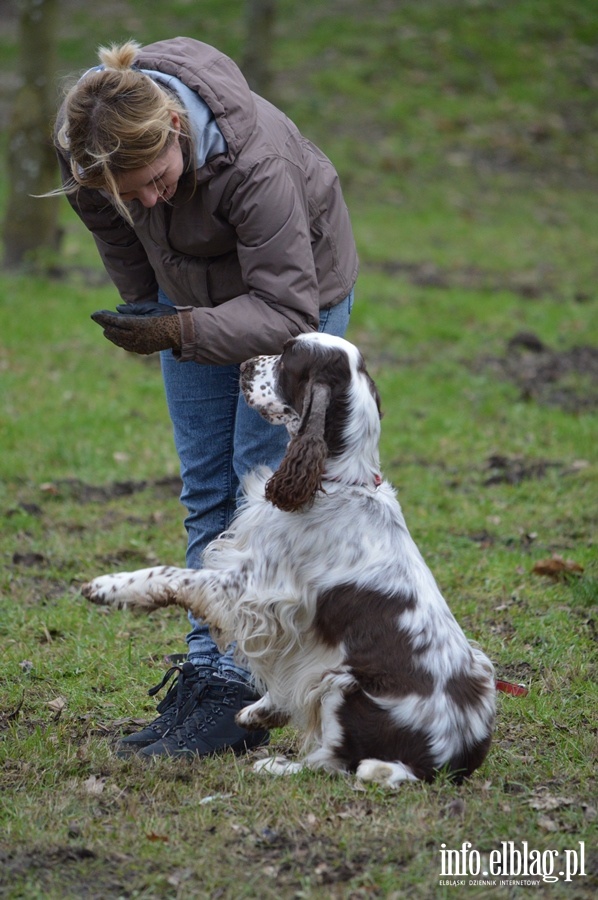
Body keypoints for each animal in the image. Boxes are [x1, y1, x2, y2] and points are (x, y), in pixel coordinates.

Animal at [83, 334, 496, 784]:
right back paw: (259, 714)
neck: (338, 482)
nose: (244, 364)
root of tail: (445, 762)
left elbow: (173, 575)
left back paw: (274, 763)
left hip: (345, 683)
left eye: (288, 356)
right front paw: (261, 709)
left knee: (332, 763)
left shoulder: (250, 588)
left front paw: (108, 586)